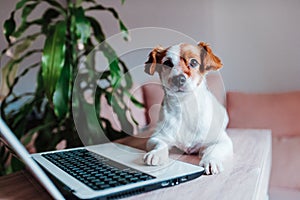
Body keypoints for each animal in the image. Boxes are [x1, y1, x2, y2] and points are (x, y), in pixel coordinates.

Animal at [144, 42, 234, 175]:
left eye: (194, 62)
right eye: (167, 63)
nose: (178, 79)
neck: (185, 107)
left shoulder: (222, 141)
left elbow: (213, 150)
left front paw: (211, 160)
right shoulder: (157, 137)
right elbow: (160, 144)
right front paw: (156, 153)